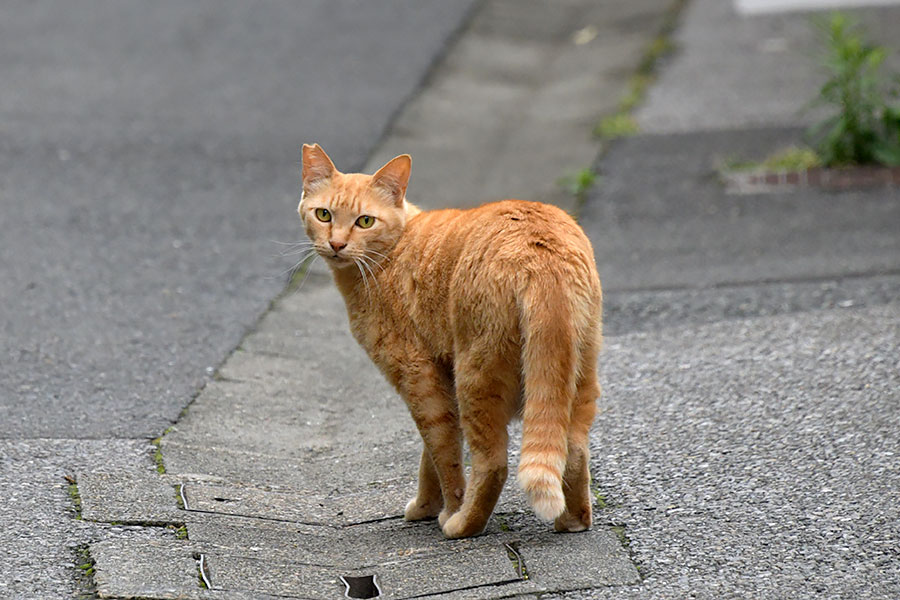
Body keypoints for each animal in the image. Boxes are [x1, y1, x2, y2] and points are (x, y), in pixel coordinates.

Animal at [298, 143, 600, 536]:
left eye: (365, 221)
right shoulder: (440, 376)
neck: (389, 255)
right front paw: (426, 505)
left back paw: (463, 523)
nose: (336, 243)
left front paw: (447, 508)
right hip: (579, 377)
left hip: (475, 377)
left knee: (493, 463)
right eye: (324, 215)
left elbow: (443, 453)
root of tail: (538, 251)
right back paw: (573, 520)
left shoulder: (419, 377)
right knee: (574, 451)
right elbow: (429, 457)